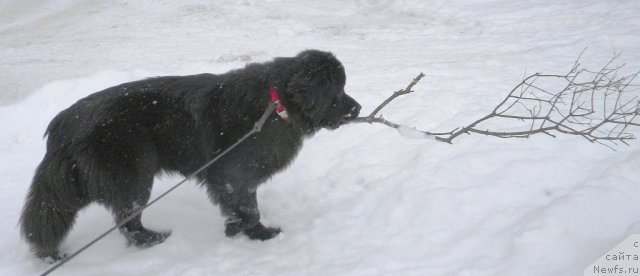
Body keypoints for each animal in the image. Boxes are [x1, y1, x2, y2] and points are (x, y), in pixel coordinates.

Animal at [20, 50, 360, 260]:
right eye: (337, 89)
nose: (357, 108)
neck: (276, 104)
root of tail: (65, 122)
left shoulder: (246, 178)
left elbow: (250, 207)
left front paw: (258, 234)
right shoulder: (230, 175)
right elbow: (248, 210)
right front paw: (238, 228)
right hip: (133, 177)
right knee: (127, 221)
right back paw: (153, 239)